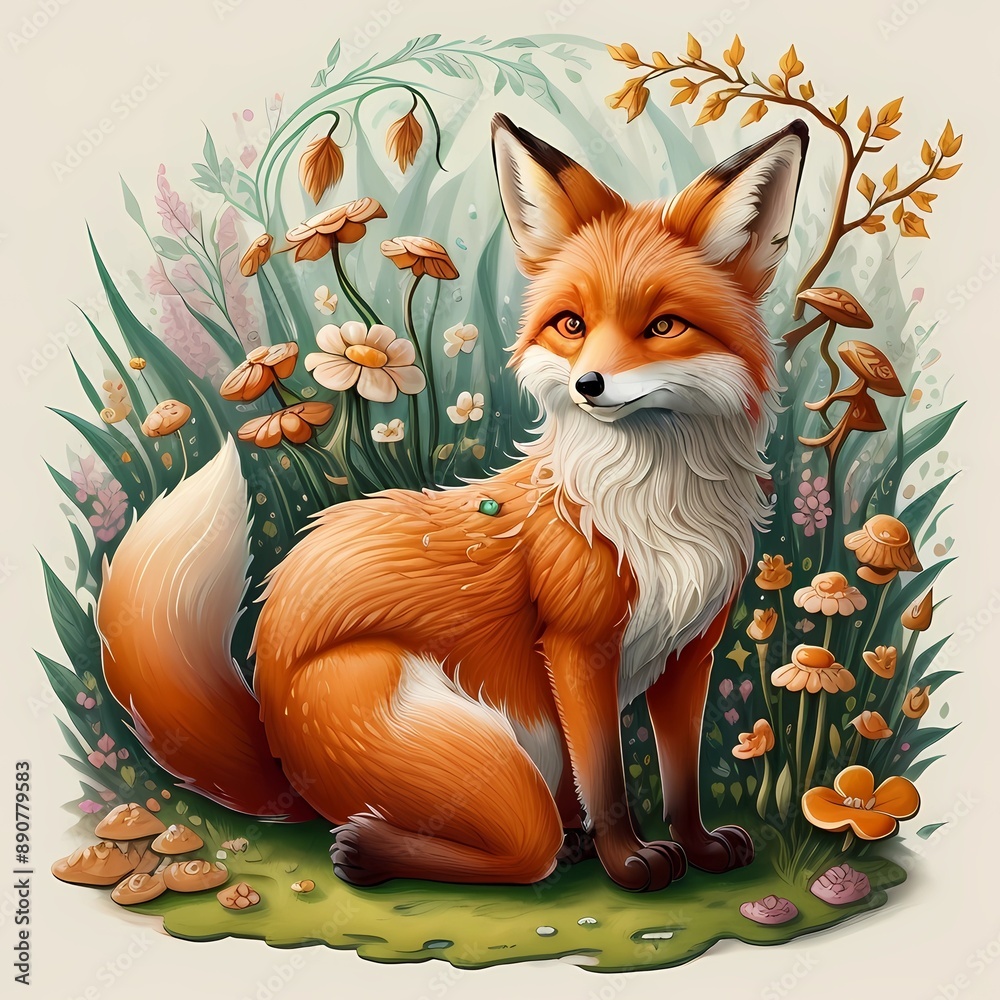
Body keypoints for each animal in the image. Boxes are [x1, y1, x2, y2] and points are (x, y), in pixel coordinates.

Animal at [96, 114, 808, 891]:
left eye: (664, 327)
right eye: (571, 324)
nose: (588, 385)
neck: (653, 511)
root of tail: (277, 741)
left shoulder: (692, 650)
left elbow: (681, 776)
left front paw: (699, 847)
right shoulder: (578, 647)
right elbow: (609, 778)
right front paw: (630, 861)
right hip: (486, 753)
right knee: (527, 848)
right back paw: (373, 850)